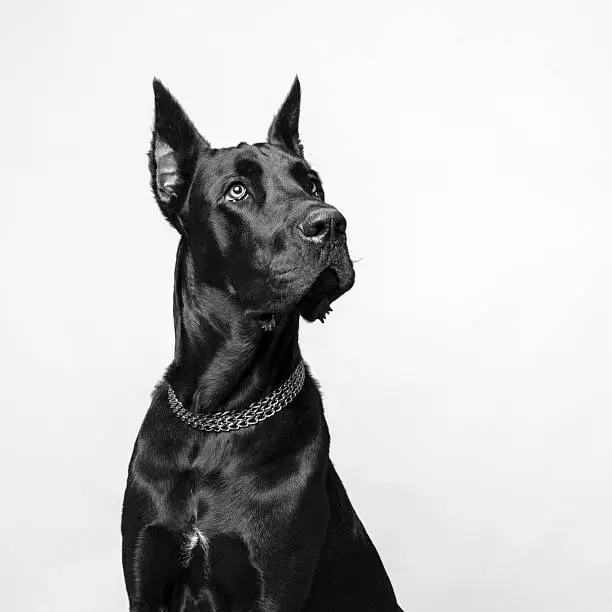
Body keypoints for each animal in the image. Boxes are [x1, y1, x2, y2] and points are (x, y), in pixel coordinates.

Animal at [122, 77, 404, 612]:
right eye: (237, 190)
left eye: (312, 183)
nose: (330, 223)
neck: (217, 417)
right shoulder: (147, 579)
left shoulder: (272, 586)